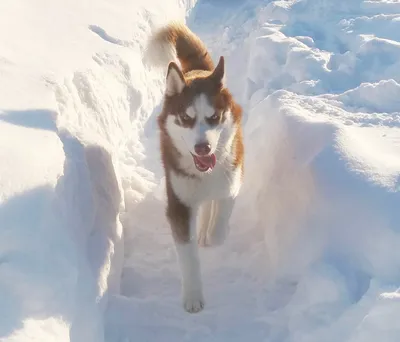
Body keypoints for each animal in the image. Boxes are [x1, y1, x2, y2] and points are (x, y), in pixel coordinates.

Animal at [145, 22, 244, 312]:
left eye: (214, 117)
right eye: (186, 118)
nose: (203, 148)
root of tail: (199, 72)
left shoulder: (232, 177)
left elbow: (223, 210)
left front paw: (214, 234)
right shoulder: (179, 203)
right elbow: (188, 255)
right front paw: (192, 296)